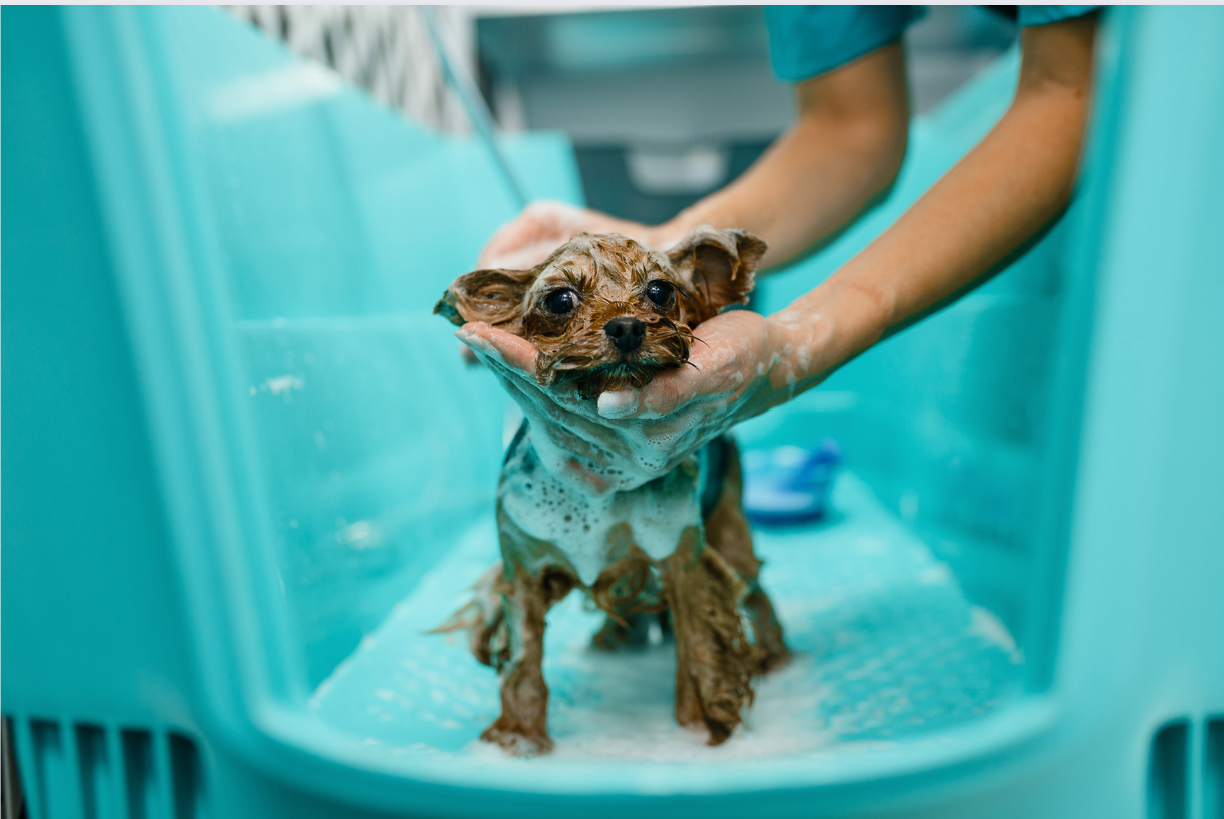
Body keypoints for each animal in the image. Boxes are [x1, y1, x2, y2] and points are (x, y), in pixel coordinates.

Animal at [435, 224, 788, 754]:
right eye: (560, 299)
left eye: (660, 292)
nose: (626, 327)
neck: (597, 483)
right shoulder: (523, 569)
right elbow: (522, 665)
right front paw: (519, 740)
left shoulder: (684, 560)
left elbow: (701, 649)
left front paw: (702, 726)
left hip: (728, 526)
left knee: (756, 593)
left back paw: (777, 657)